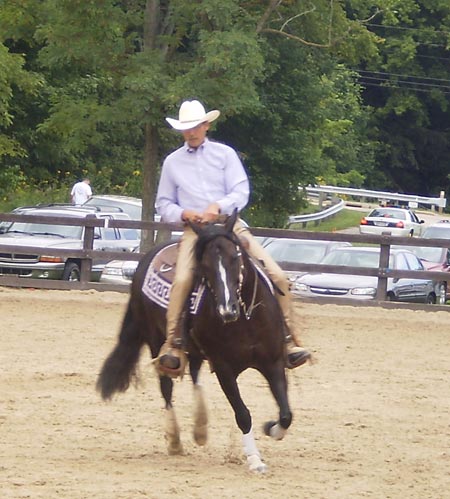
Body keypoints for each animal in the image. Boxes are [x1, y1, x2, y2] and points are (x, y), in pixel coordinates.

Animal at [96, 210, 294, 472]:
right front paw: (254, 459)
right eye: (204, 265)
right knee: (166, 387)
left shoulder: (273, 362)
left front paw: (272, 429)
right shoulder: (224, 369)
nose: (227, 310)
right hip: (156, 341)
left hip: (195, 349)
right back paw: (174, 440)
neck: (246, 319)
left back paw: (200, 428)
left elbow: (286, 414)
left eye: (235, 257)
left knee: (195, 374)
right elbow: (242, 414)